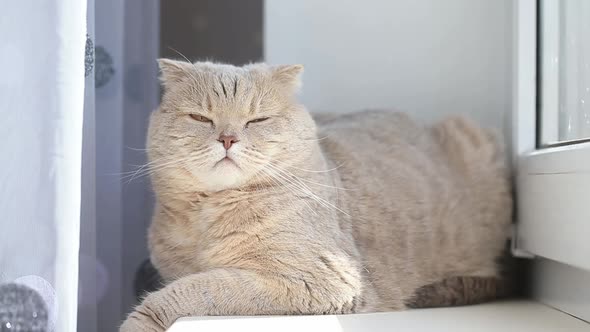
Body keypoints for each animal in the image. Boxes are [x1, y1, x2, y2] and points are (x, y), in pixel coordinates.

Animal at [120, 60, 512, 332]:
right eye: (201, 118)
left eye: (257, 120)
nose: (228, 138)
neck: (207, 217)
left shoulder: (316, 279)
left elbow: (191, 291)